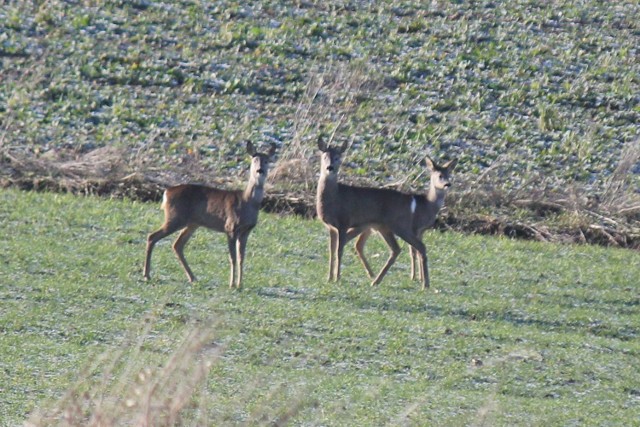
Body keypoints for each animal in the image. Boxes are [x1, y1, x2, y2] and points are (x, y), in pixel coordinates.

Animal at [144, 142, 276, 290]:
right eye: (254, 160)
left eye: (267, 160)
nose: (260, 170)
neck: (247, 202)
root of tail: (166, 192)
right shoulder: (230, 227)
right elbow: (232, 257)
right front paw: (231, 284)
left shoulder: (246, 230)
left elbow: (241, 258)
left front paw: (240, 284)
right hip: (175, 217)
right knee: (152, 236)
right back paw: (147, 275)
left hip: (192, 223)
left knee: (177, 244)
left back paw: (193, 278)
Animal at [316, 138, 456, 290]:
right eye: (325, 156)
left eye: (338, 157)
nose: (330, 167)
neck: (335, 197)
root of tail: (408, 199)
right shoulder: (331, 226)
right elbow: (332, 250)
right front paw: (329, 278)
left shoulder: (344, 221)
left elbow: (339, 250)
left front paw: (337, 278)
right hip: (384, 227)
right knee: (395, 249)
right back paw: (377, 280)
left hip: (398, 225)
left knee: (416, 247)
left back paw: (423, 284)